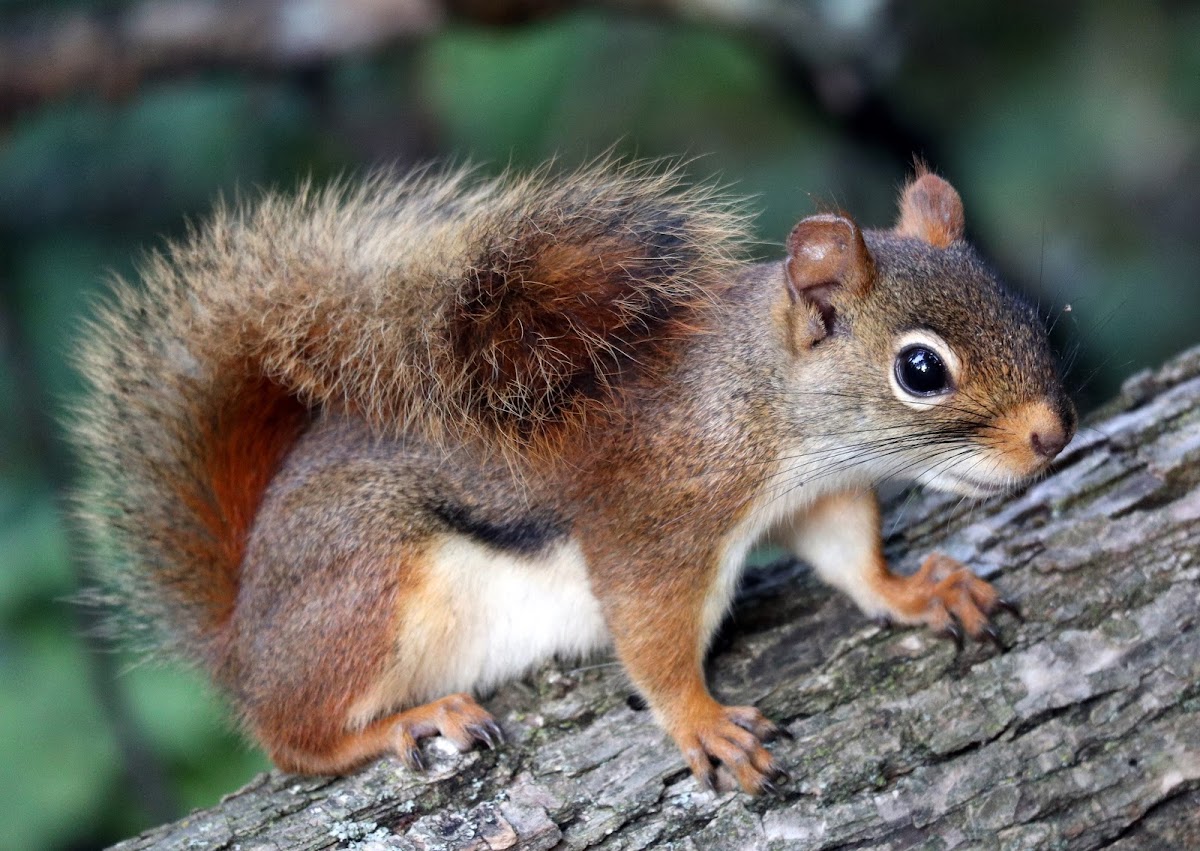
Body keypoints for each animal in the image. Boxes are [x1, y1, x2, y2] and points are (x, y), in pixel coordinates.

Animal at [75, 160, 1080, 796]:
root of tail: (240, 635)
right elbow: (653, 639)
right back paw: (408, 721)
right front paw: (701, 722)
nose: (1053, 434)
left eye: (1018, 304)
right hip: (366, 591)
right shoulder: (655, 523)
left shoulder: (821, 494)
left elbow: (853, 560)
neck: (763, 409)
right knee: (291, 739)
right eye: (920, 369)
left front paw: (921, 590)